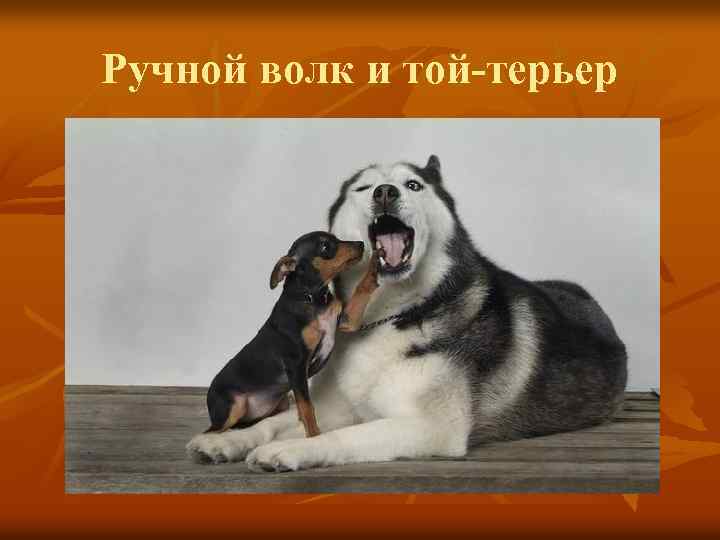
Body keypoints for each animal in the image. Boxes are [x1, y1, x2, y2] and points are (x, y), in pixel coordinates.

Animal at [187, 155, 627, 472]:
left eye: (413, 185)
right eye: (364, 187)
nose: (385, 192)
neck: (393, 315)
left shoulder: (429, 427)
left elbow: (340, 436)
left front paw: (290, 449)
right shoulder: (334, 406)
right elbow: (272, 423)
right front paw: (225, 439)